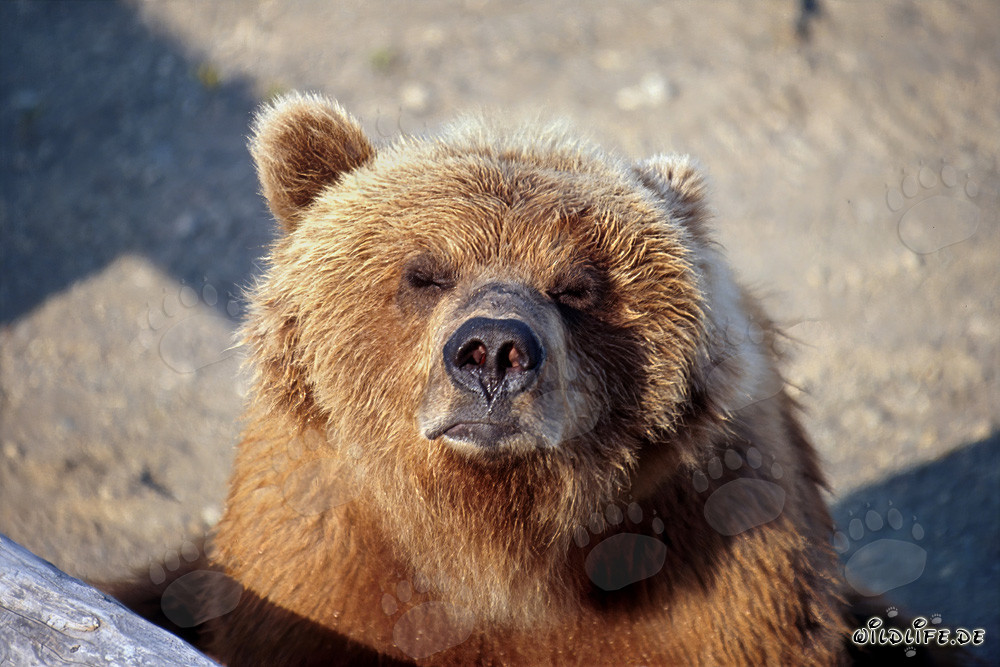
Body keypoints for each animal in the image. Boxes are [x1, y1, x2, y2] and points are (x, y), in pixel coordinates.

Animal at [108, 93, 852, 665]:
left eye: (577, 285)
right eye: (425, 271)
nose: (494, 349)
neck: (488, 543)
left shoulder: (713, 570)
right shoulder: (319, 569)